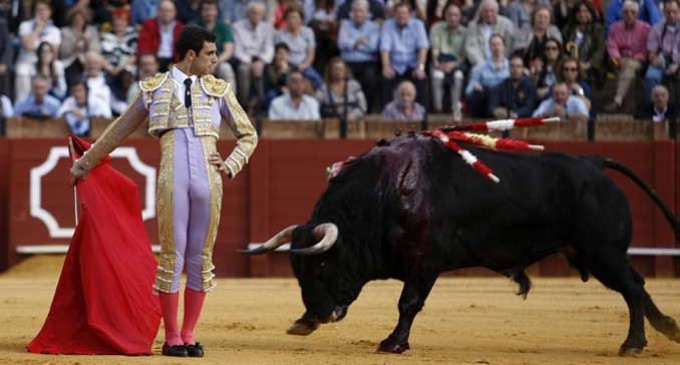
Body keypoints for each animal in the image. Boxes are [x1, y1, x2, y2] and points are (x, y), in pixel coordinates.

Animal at [244, 134, 680, 352]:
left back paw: (633, 344)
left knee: (633, 288)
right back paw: (666, 329)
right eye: (297, 272)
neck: (384, 195)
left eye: (322, 265)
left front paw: (393, 343)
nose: (316, 317)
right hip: (593, 254)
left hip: (602, 252)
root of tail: (594, 163)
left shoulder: (424, 264)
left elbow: (408, 303)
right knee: (636, 287)